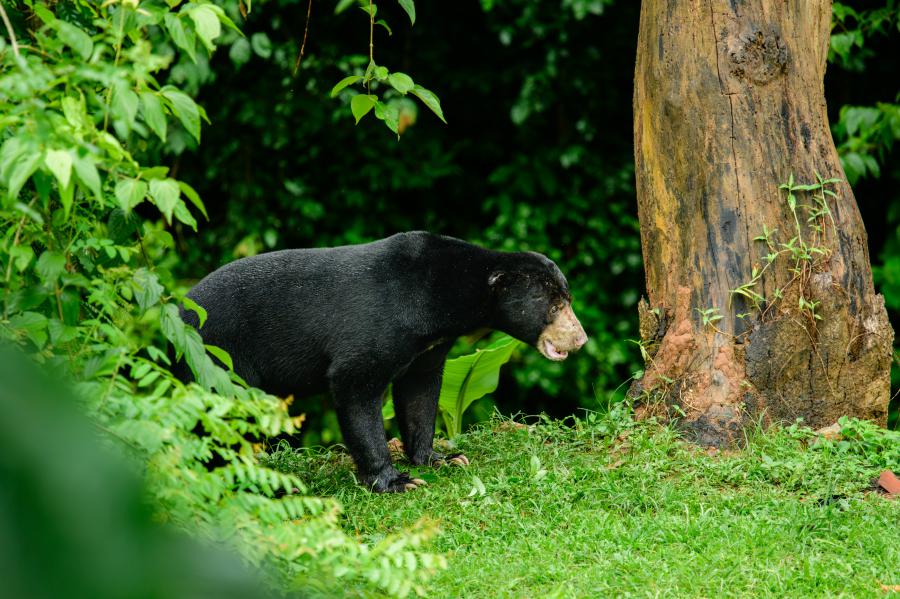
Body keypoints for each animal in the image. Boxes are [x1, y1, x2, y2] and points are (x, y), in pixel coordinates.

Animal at [180, 231, 587, 492]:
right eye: (554, 306)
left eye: (567, 298)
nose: (580, 338)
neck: (439, 300)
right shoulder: (376, 331)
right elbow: (355, 387)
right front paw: (398, 482)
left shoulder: (428, 348)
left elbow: (420, 394)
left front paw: (442, 458)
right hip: (218, 359)